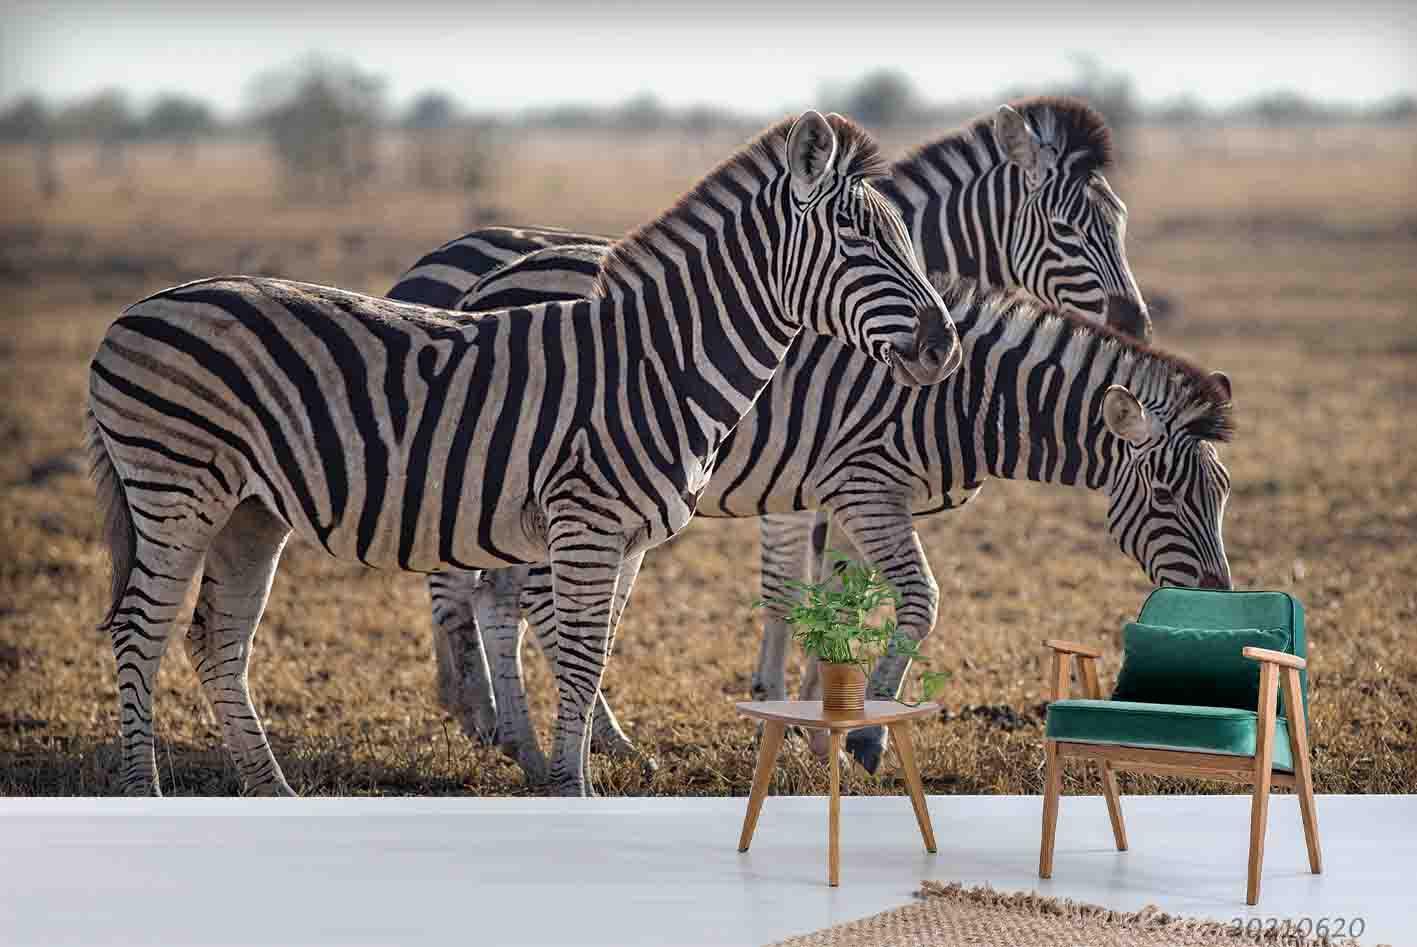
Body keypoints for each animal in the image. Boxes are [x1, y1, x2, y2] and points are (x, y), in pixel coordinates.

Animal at [84, 111, 962, 797]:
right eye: (855, 238)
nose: (944, 346)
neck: (658, 362)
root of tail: (134, 311)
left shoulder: (624, 538)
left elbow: (594, 654)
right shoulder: (586, 521)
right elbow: (575, 657)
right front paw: (573, 787)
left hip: (249, 510)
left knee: (216, 640)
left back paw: (273, 789)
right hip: (175, 490)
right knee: (141, 631)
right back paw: (145, 789)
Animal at [391, 98, 1161, 778]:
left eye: (1121, 221)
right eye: (1064, 227)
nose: (1137, 328)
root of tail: (475, 274)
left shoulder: (830, 486)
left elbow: (835, 591)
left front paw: (825, 718)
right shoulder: (808, 477)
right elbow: (791, 591)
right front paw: (794, 715)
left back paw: (502, 720)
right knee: (476, 589)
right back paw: (505, 718)